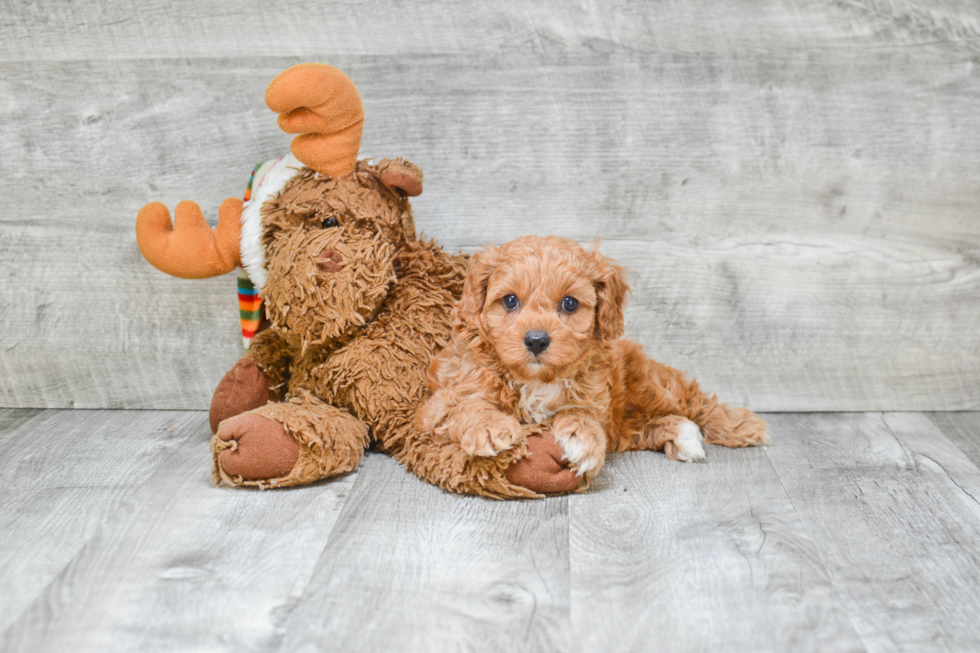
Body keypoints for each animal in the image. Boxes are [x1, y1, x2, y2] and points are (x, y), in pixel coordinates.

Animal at [418, 234, 768, 488]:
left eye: (570, 304)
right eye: (510, 301)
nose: (536, 340)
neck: (535, 380)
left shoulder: (595, 397)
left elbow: (581, 412)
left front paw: (581, 437)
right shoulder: (438, 405)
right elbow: (468, 405)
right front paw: (489, 426)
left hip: (651, 384)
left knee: (697, 402)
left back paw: (743, 426)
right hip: (627, 423)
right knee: (643, 428)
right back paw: (682, 436)